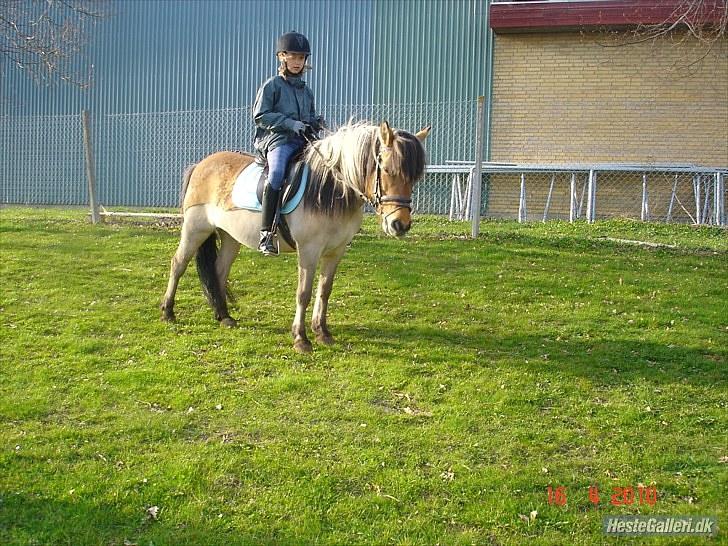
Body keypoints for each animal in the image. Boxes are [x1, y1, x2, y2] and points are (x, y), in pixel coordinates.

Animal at [160, 120, 430, 350]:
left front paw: (322, 332)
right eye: (387, 169)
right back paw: (168, 311)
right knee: (178, 264)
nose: (400, 225)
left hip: (230, 237)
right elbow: (304, 293)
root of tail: (201, 165)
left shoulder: (336, 251)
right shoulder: (309, 250)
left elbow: (325, 290)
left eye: (415, 177)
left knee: (218, 272)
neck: (328, 190)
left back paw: (224, 316)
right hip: (195, 228)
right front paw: (301, 338)